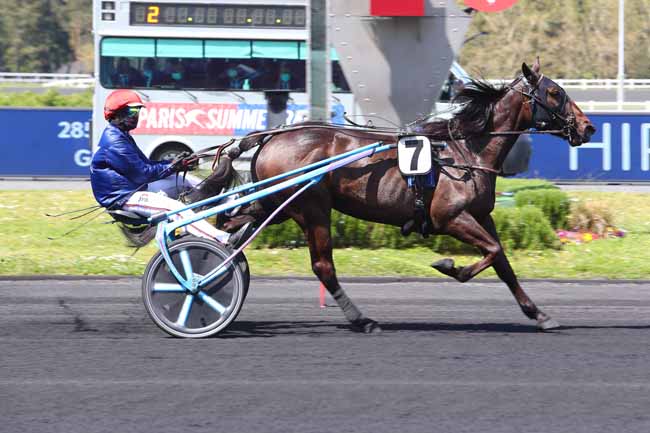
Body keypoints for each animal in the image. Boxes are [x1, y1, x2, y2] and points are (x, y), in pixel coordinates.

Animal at [192, 59, 596, 333]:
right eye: (555, 93)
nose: (588, 127)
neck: (467, 149)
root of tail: (269, 137)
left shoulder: (482, 216)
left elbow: (504, 263)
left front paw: (539, 314)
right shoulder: (451, 217)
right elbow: (492, 253)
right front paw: (450, 266)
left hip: (273, 203)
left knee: (231, 231)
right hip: (311, 208)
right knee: (322, 266)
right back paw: (362, 319)